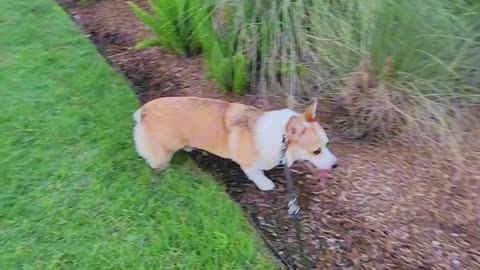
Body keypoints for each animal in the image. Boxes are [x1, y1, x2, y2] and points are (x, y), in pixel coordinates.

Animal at [133, 96, 338, 191]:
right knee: (156, 163)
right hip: (162, 154)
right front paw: (266, 185)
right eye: (316, 151)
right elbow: (258, 176)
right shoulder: (249, 165)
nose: (336, 165)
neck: (280, 138)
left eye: (327, 144)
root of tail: (142, 113)